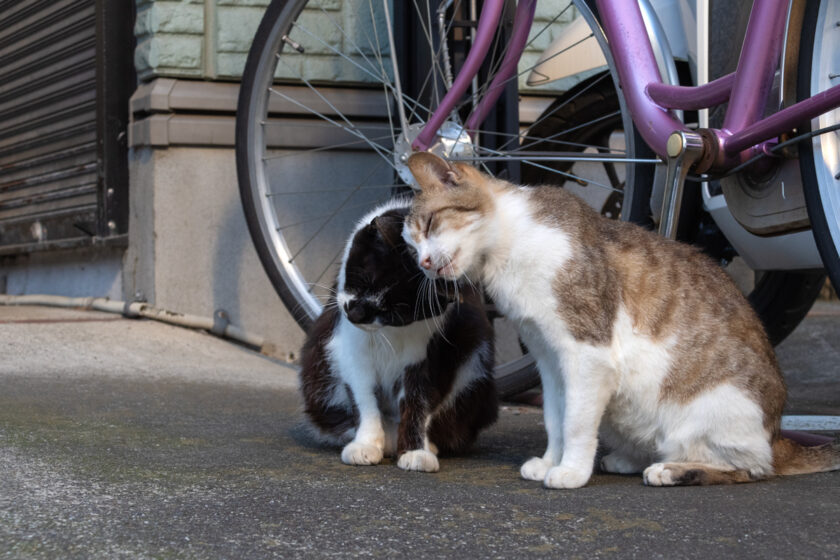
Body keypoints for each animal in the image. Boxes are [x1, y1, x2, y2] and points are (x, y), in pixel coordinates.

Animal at [300, 199, 498, 470]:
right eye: (362, 280)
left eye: (392, 312)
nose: (355, 314)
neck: (391, 334)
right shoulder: (352, 352)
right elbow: (365, 401)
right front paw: (365, 446)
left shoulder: (429, 353)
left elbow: (419, 402)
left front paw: (416, 451)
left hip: (477, 357)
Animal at [404, 152, 836, 486]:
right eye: (411, 245)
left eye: (430, 224)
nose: (422, 263)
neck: (509, 249)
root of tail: (778, 435)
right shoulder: (549, 359)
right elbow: (555, 417)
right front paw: (551, 461)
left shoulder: (586, 355)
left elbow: (576, 422)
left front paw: (571, 472)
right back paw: (628, 459)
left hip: (716, 413)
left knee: (748, 469)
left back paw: (671, 469)